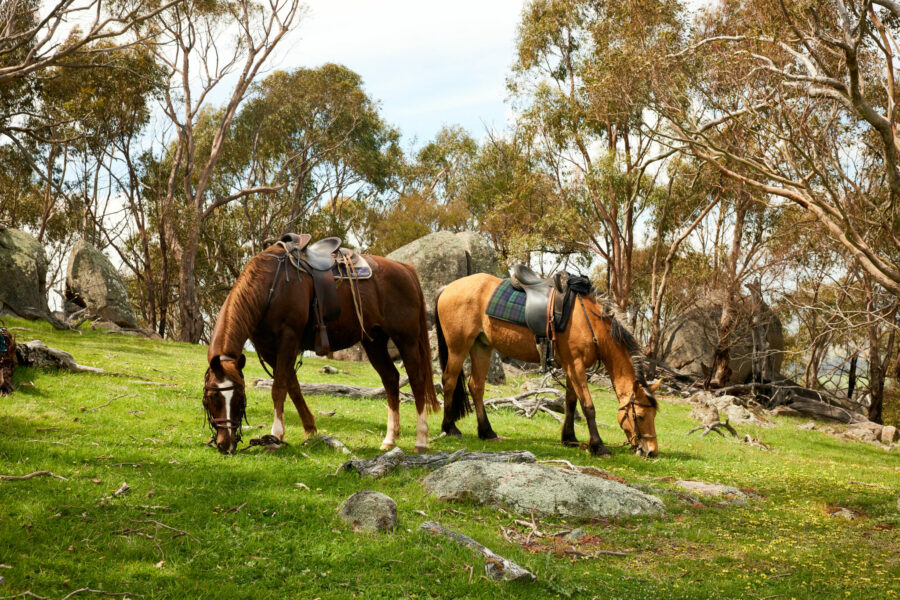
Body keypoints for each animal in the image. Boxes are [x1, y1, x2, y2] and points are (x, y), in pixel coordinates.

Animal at [202, 241, 440, 454]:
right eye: (211, 397)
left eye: (239, 397)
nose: (226, 444)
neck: (271, 287)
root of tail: (405, 269)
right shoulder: (268, 348)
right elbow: (293, 387)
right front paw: (310, 428)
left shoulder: (288, 339)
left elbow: (279, 388)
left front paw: (275, 436)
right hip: (374, 341)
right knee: (391, 379)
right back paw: (390, 440)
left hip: (406, 339)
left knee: (417, 381)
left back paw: (421, 440)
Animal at [434, 273, 659, 457]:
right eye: (640, 416)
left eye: (654, 415)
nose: (651, 451)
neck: (590, 322)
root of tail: (447, 287)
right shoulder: (576, 365)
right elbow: (588, 406)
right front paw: (598, 446)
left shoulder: (572, 368)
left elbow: (571, 402)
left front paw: (569, 438)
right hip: (458, 348)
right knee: (449, 381)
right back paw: (450, 428)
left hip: (481, 346)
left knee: (476, 386)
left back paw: (486, 431)